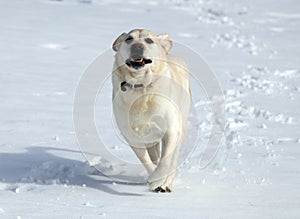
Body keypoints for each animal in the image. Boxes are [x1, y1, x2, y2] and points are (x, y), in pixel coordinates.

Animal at [111, 28, 191, 192]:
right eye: (129, 39)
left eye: (149, 40)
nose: (137, 47)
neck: (141, 86)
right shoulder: (132, 136)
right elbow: (146, 161)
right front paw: (154, 177)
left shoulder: (171, 130)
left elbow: (166, 160)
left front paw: (158, 180)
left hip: (181, 126)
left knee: (173, 160)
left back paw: (166, 184)